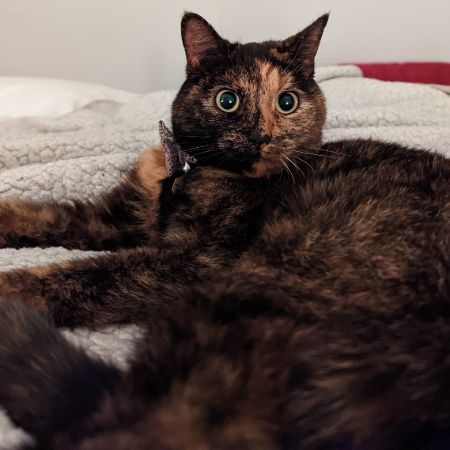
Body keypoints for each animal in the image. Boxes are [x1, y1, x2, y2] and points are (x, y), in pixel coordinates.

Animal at [0, 11, 449, 450]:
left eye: (287, 102)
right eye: (227, 100)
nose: (261, 135)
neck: (186, 173)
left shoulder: (198, 262)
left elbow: (86, 274)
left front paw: (10, 287)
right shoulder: (113, 217)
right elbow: (45, 216)